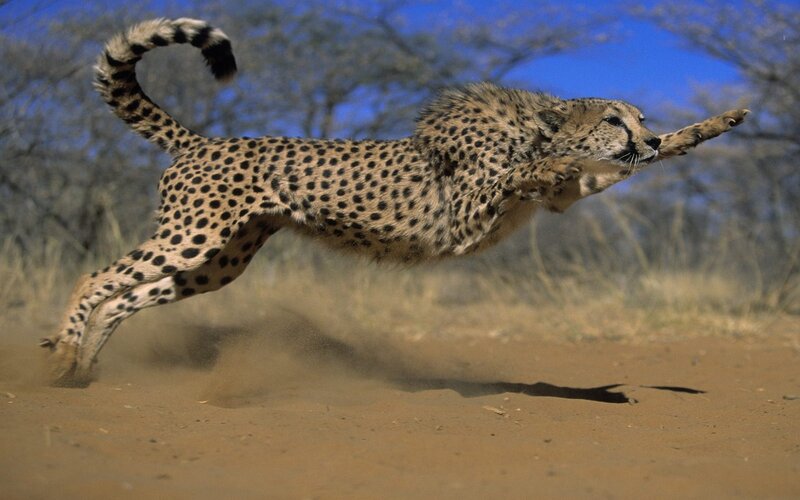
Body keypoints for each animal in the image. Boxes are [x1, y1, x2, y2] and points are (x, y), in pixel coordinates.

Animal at [40, 18, 748, 386]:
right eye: (611, 118)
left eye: (640, 117)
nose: (644, 135)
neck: (534, 128)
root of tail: (202, 139)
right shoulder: (470, 207)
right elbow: (551, 165)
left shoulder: (565, 197)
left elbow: (612, 168)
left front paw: (713, 125)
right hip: (194, 236)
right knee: (94, 276)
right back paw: (65, 353)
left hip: (220, 260)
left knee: (125, 296)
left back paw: (87, 365)